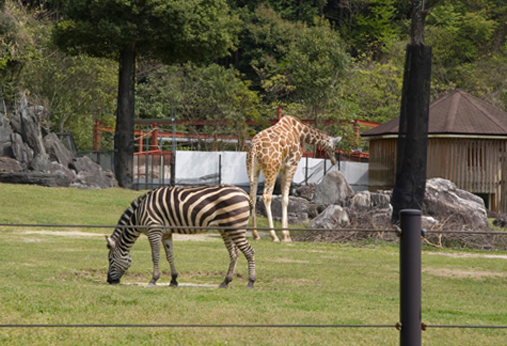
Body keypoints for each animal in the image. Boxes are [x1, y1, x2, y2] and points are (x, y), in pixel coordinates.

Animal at [107, 185, 258, 288]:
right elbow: (169, 255)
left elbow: (155, 255)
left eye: (110, 259)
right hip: (226, 229)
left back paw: (251, 282)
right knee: (234, 254)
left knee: (249, 252)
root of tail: (245, 195)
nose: (109, 281)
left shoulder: (154, 229)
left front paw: (154, 279)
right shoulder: (166, 233)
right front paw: (173, 280)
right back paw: (226, 281)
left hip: (235, 227)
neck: (138, 215)